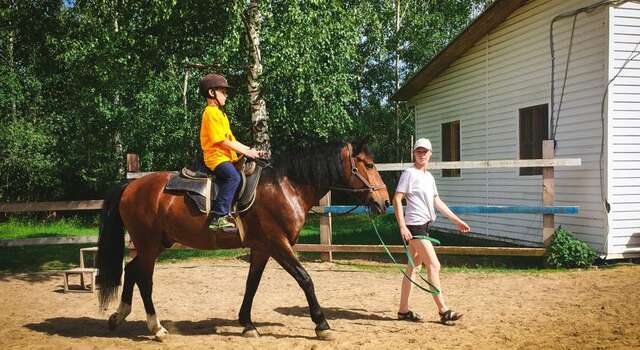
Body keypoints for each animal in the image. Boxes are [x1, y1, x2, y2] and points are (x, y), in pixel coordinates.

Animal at [95, 139, 390, 340]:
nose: (384, 201)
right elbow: (305, 279)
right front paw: (322, 325)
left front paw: (247, 324)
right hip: (149, 245)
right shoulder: (278, 244)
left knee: (132, 270)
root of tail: (131, 186)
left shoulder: (261, 248)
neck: (285, 186)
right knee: (144, 279)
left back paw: (118, 316)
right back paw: (156, 328)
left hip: (156, 245)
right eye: (369, 165)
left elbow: (252, 284)